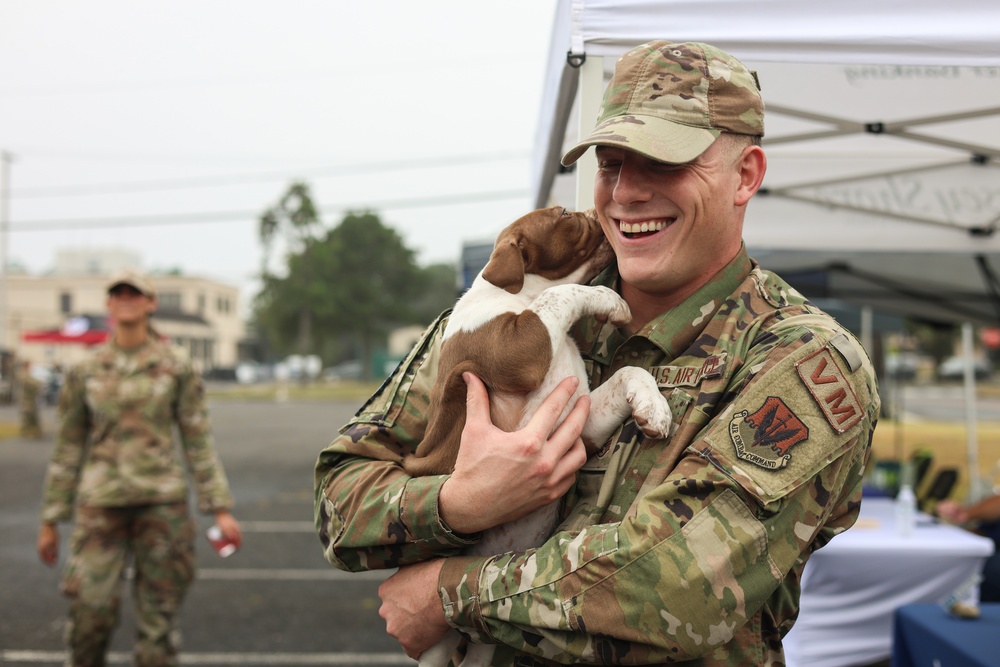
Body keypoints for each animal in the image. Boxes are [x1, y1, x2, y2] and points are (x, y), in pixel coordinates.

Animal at [400, 206, 672, 667]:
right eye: (564, 214)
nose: (595, 210)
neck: (518, 296)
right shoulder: (516, 345)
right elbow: (561, 294)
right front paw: (611, 300)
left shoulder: (583, 418)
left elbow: (629, 373)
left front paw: (654, 408)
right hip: (435, 644)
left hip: (482, 640)